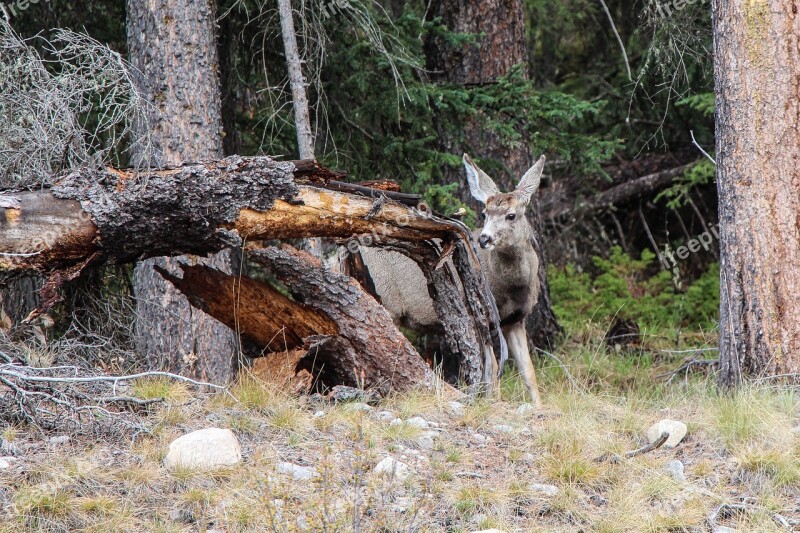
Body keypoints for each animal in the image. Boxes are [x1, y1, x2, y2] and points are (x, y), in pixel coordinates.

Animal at [360, 154, 548, 408]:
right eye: (484, 213)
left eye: (511, 215)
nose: (484, 239)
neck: (511, 288)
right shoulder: (477, 314)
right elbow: (493, 369)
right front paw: (494, 403)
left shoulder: (516, 320)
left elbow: (528, 371)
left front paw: (539, 406)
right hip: (385, 301)